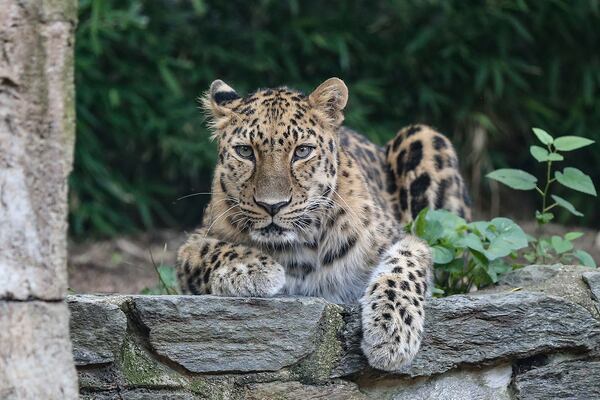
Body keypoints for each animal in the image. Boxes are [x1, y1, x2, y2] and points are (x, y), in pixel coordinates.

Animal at [176, 78, 472, 372]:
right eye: (245, 151)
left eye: (302, 151)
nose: (272, 205)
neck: (298, 248)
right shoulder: (191, 246)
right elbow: (213, 250)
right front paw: (255, 269)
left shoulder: (406, 238)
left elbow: (405, 265)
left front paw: (393, 330)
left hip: (425, 138)